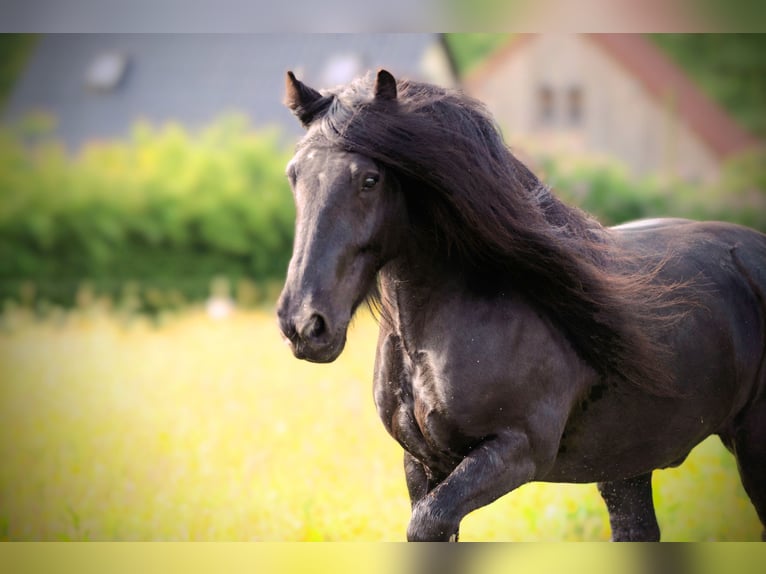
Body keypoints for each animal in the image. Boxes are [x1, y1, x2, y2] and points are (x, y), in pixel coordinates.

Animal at [276, 68, 766, 541]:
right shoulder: (421, 463)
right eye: (294, 175)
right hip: (627, 461)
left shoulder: (516, 450)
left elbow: (427, 524)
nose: (304, 324)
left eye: (369, 180)